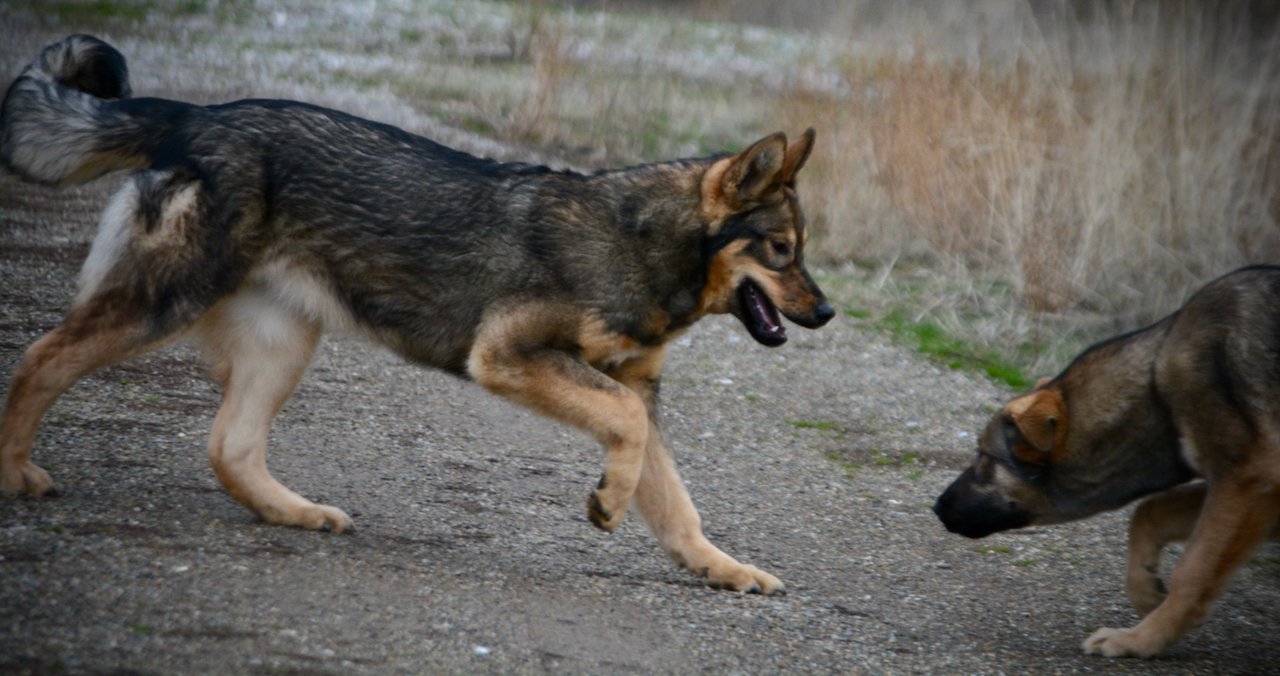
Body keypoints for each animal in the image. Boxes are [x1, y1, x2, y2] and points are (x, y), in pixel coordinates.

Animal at [0, 34, 834, 594]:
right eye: (782, 250)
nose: (827, 312)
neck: (645, 244)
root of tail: (193, 116)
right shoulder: (513, 358)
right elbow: (625, 432)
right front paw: (608, 502)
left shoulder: (633, 385)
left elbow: (676, 501)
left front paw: (720, 567)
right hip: (163, 302)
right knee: (41, 358)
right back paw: (14, 473)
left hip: (282, 341)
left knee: (229, 448)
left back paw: (295, 513)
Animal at [931, 263, 1280, 655]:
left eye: (984, 455)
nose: (937, 507)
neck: (1155, 390)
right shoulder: (1251, 493)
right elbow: (1149, 512)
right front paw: (1147, 595)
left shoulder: (1248, 480)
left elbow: (1194, 569)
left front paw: (1142, 640)